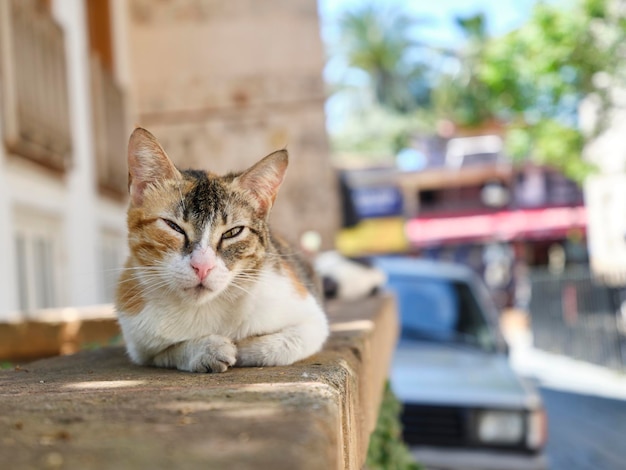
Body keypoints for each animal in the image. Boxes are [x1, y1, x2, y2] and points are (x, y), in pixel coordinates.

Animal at [115, 126, 330, 372]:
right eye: (174, 226)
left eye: (232, 232)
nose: (202, 267)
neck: (204, 308)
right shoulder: (140, 345)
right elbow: (166, 352)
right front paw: (207, 349)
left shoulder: (310, 318)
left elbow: (283, 344)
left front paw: (242, 347)